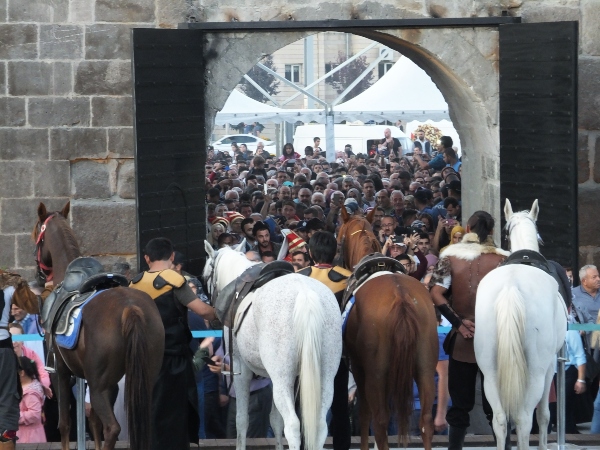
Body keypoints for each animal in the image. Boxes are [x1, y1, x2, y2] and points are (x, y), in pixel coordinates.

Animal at [12, 203, 166, 450]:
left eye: (36, 234)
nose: (38, 274)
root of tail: (130, 308)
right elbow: (93, 423)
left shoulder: (60, 372)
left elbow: (65, 424)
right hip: (142, 378)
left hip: (99, 385)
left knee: (112, 428)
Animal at [203, 243, 340, 450]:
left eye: (205, 276)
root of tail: (305, 295)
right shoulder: (274, 378)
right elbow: (276, 421)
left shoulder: (241, 370)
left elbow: (242, 420)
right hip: (324, 376)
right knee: (319, 425)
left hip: (283, 378)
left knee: (292, 426)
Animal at [338, 210, 436, 450]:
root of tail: (401, 298)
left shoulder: (360, 368)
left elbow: (365, 414)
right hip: (425, 367)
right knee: (426, 421)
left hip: (376, 373)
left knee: (380, 421)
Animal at [474, 200, 568, 450]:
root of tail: (511, 287)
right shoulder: (549, 367)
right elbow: (544, 415)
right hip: (535, 372)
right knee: (525, 419)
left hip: (490, 371)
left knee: (499, 420)